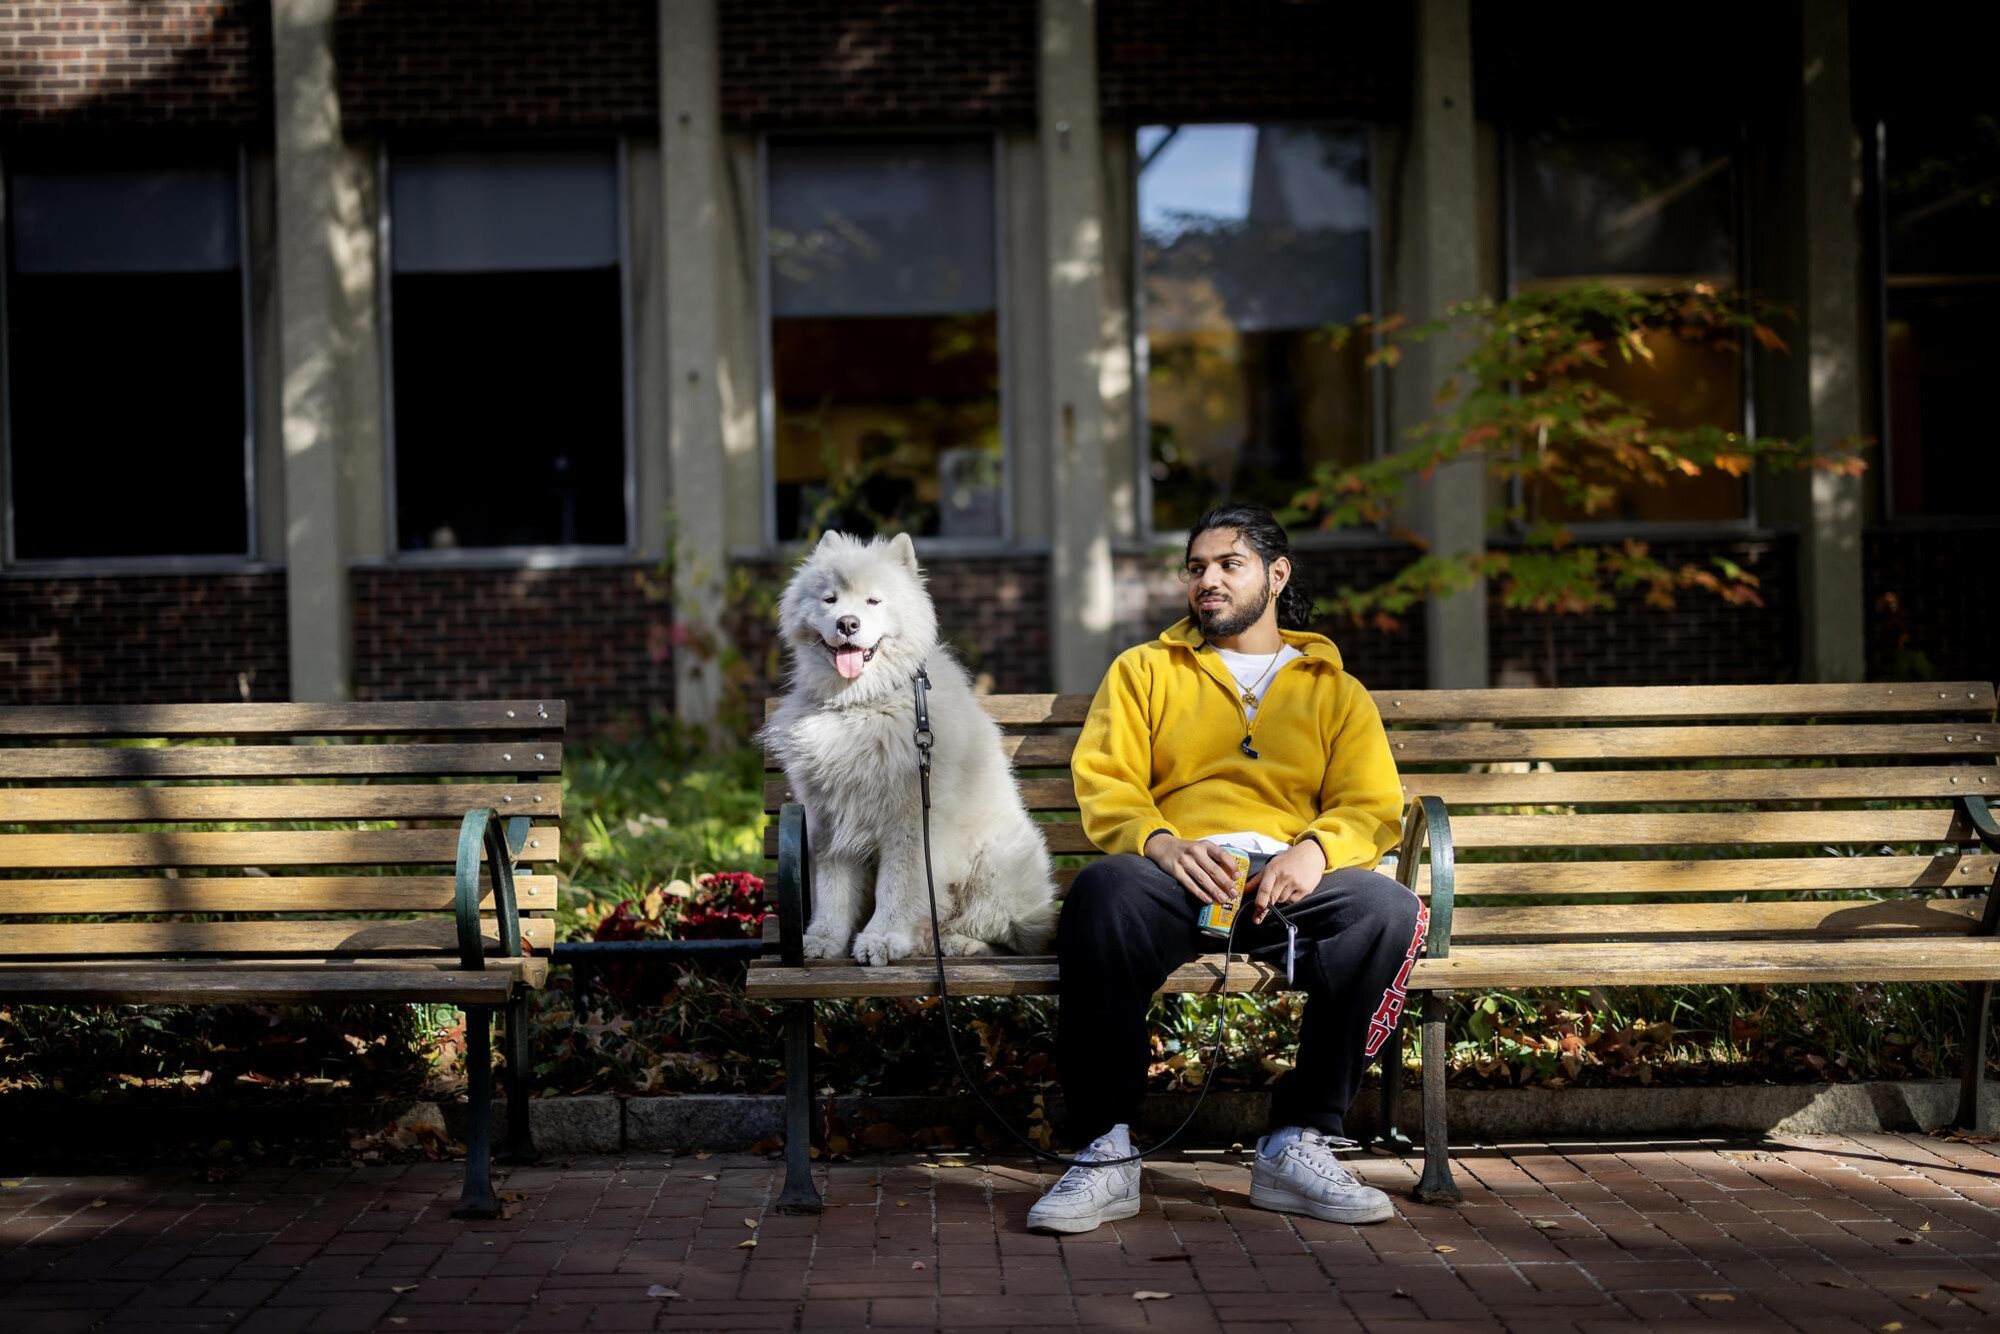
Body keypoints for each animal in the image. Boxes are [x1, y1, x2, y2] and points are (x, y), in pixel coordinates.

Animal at [760, 536, 1064, 972]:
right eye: (829, 599)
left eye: (873, 601)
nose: (847, 623)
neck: (862, 704)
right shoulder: (831, 822)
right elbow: (833, 892)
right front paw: (822, 940)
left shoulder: (910, 824)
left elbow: (897, 889)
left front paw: (881, 940)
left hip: (994, 863)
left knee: (1003, 934)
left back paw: (957, 944)